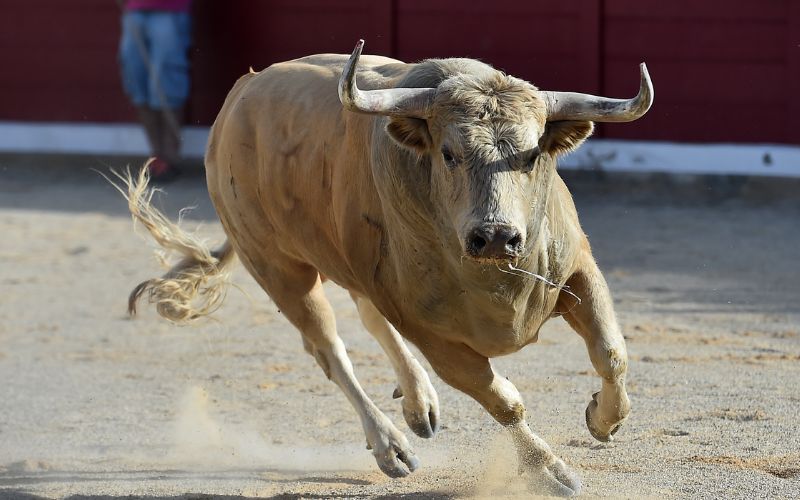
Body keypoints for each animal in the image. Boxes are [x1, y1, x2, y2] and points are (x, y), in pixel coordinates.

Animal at [123, 40, 648, 496]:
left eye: (533, 153)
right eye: (449, 154)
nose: (497, 235)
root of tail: (239, 97)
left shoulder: (577, 269)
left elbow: (611, 353)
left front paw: (604, 419)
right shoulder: (433, 334)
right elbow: (501, 398)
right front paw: (550, 470)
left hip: (355, 263)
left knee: (369, 316)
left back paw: (419, 403)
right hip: (277, 267)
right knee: (329, 348)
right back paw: (391, 446)